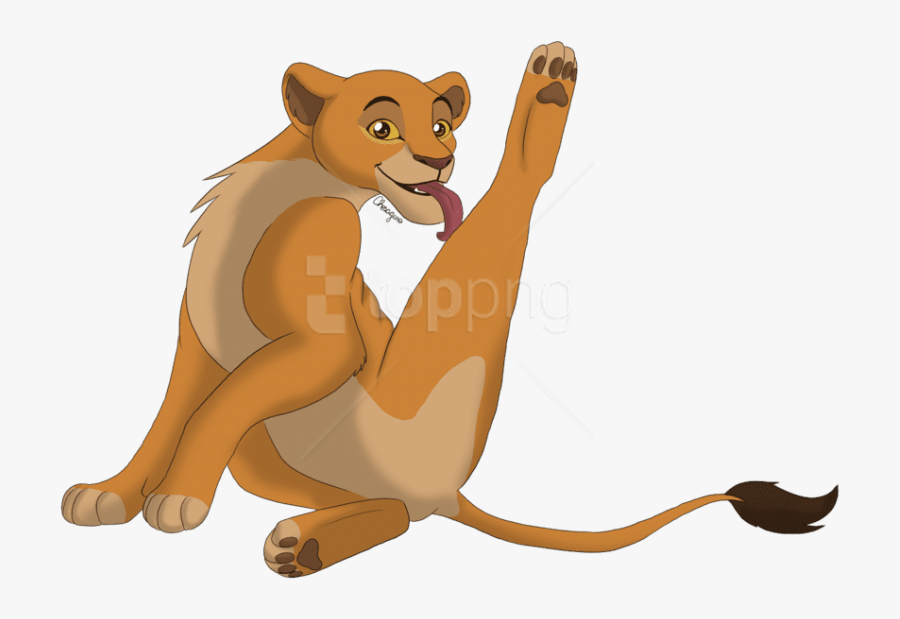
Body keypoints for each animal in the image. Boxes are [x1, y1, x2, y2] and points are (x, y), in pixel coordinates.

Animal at [61, 42, 837, 578]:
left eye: (441, 125)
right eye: (381, 128)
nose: (440, 162)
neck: (287, 183)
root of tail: (446, 489)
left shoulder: (323, 339)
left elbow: (219, 406)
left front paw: (178, 500)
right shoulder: (198, 345)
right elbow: (170, 417)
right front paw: (110, 495)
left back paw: (550, 83)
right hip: (274, 459)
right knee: (397, 513)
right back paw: (305, 542)